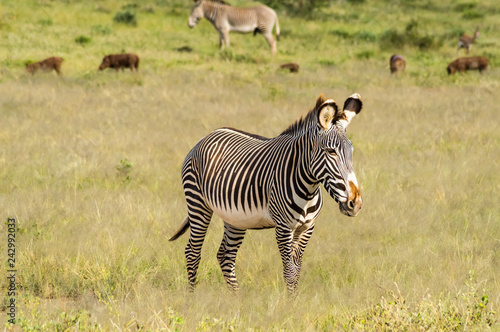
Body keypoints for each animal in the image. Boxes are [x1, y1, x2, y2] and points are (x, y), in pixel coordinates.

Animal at [169, 93, 364, 294]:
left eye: (351, 151)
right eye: (331, 151)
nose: (355, 203)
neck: (308, 187)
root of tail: (208, 135)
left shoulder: (307, 227)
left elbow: (297, 270)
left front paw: (294, 299)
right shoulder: (283, 227)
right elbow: (289, 271)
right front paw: (289, 302)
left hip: (235, 217)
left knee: (225, 255)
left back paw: (236, 298)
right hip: (197, 203)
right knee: (193, 252)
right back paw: (192, 296)